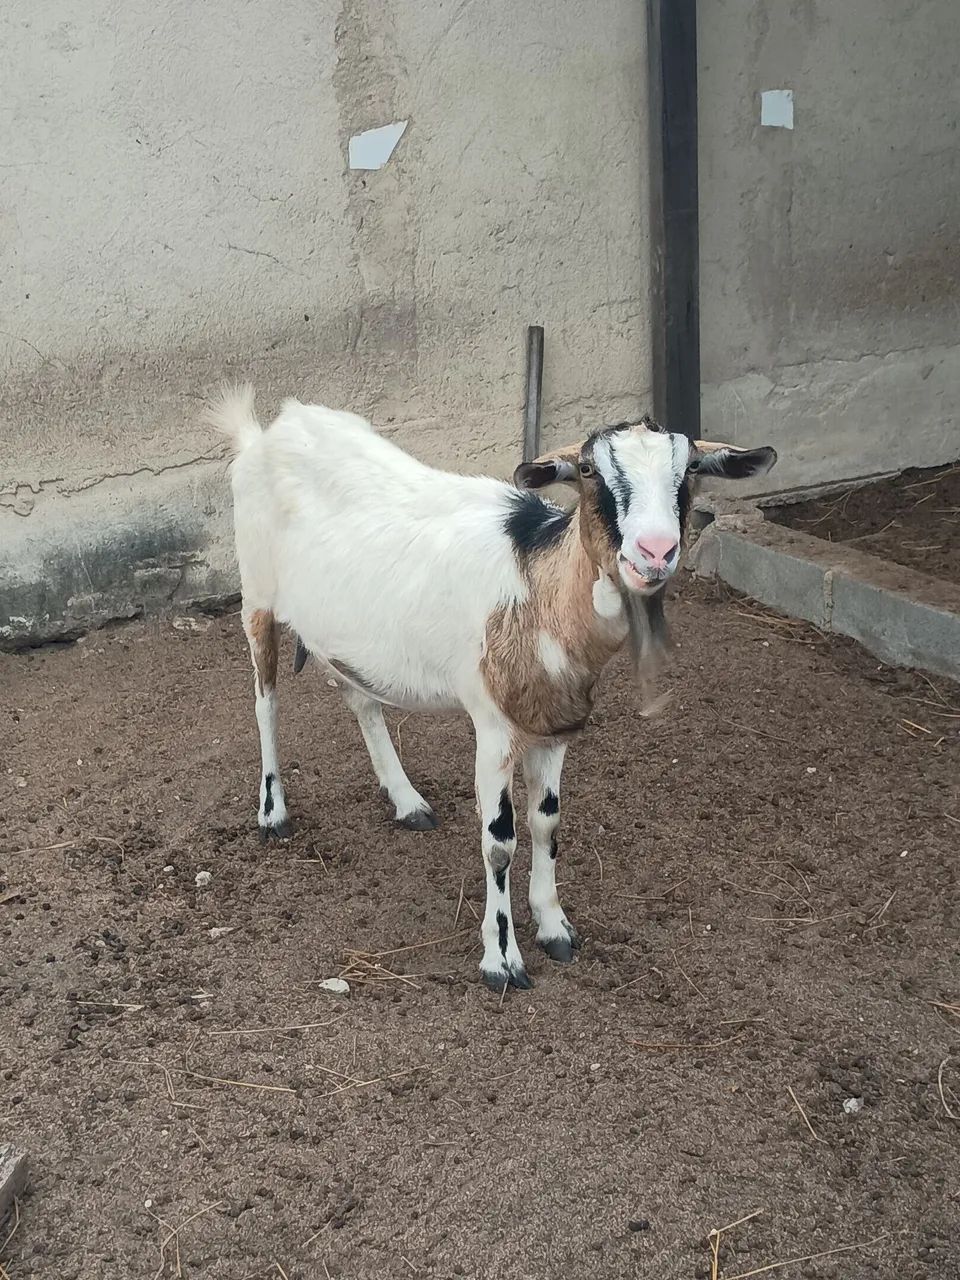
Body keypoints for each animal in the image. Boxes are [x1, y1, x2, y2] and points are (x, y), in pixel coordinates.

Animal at [208, 386, 776, 991]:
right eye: (589, 469)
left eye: (689, 468)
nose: (654, 552)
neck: (538, 589)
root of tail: (267, 432)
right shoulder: (494, 726)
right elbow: (499, 842)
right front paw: (501, 959)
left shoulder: (553, 728)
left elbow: (547, 823)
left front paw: (554, 927)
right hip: (256, 593)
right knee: (265, 701)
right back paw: (273, 814)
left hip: (344, 632)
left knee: (359, 697)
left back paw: (406, 800)